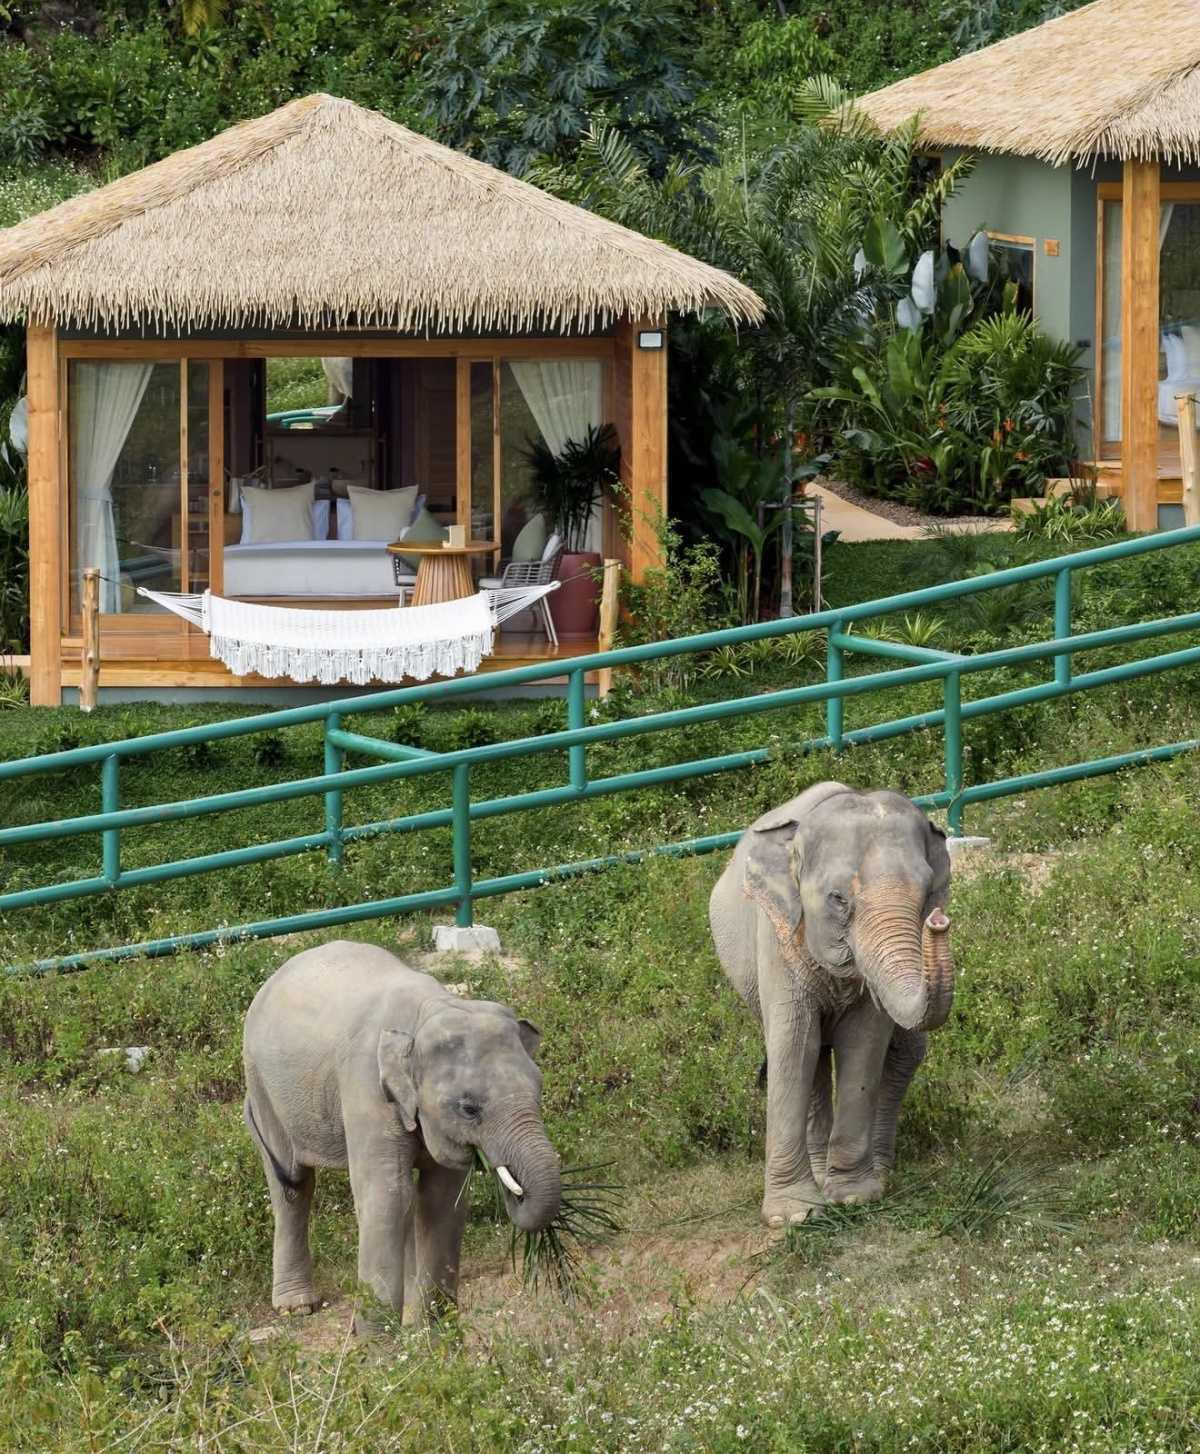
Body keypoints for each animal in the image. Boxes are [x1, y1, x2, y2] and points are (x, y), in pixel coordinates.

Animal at [242, 940, 561, 1327]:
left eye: (539, 1091)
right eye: (469, 1108)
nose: (516, 1191)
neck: (430, 1010)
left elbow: (441, 1199)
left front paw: (433, 1329)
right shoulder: (367, 1089)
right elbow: (388, 1197)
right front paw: (379, 1339)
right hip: (262, 1086)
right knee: (292, 1183)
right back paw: (297, 1307)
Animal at [709, 782, 954, 1229]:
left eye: (928, 894)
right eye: (838, 898)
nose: (938, 921)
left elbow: (864, 1043)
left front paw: (854, 1198)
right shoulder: (778, 937)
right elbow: (794, 1046)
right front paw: (793, 1216)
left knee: (899, 1052)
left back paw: (867, 1174)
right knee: (811, 1054)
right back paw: (820, 1181)